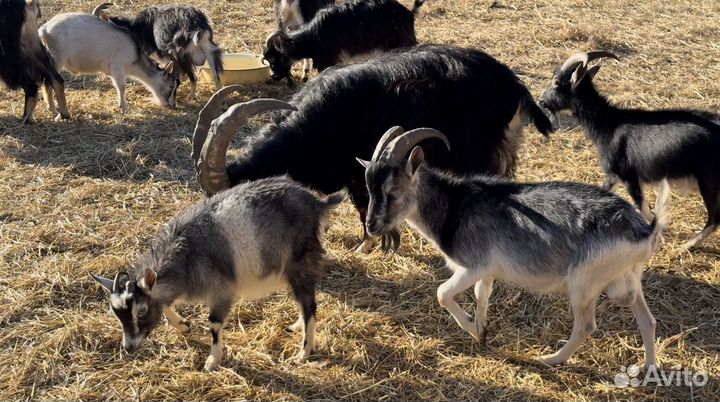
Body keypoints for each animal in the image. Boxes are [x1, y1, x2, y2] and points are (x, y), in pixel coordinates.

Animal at [39, 11, 179, 114]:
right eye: (171, 85)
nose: (172, 105)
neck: (135, 56)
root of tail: (43, 30)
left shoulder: (112, 71)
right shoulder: (118, 66)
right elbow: (121, 86)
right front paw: (124, 108)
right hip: (57, 59)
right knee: (49, 83)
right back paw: (53, 109)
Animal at [92, 176, 344, 371]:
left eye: (141, 310)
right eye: (115, 313)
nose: (128, 347)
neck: (186, 256)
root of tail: (318, 204)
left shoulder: (222, 290)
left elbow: (213, 324)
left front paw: (212, 361)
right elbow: (165, 303)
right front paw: (184, 326)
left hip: (301, 263)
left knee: (309, 305)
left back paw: (303, 353)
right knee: (303, 302)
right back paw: (296, 326)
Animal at [358, 126, 670, 368]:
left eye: (393, 190)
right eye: (369, 188)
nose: (371, 226)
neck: (455, 205)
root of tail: (644, 230)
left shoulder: (473, 265)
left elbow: (442, 293)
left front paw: (472, 327)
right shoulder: (487, 272)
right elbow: (481, 294)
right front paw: (481, 331)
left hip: (583, 283)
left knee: (587, 326)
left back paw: (550, 359)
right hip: (628, 278)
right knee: (647, 320)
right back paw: (649, 370)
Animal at [539, 51, 720, 249]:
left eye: (557, 82)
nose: (541, 101)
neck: (609, 124)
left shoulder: (629, 176)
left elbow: (643, 208)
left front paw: (659, 237)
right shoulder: (614, 175)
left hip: (709, 181)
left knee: (714, 219)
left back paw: (686, 245)